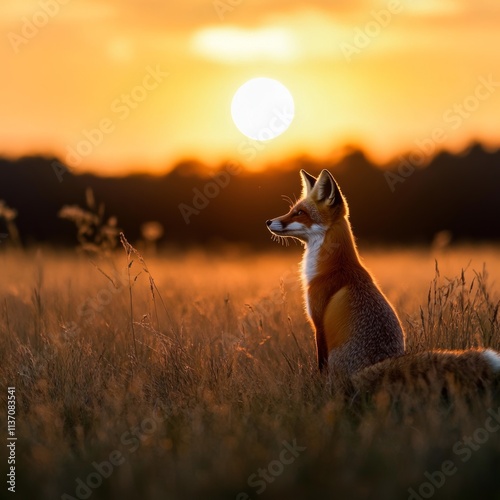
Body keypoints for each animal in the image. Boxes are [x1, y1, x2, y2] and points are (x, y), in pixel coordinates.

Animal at [268, 168, 500, 382]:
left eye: (299, 213)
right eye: (292, 210)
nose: (268, 222)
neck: (336, 265)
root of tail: (380, 362)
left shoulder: (318, 323)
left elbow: (320, 366)